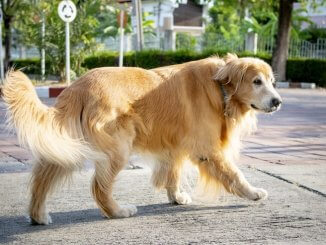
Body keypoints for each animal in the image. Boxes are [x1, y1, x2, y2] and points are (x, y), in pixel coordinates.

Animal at [2, 53, 282, 224]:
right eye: (257, 82)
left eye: (272, 82)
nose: (278, 101)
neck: (220, 88)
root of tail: (77, 88)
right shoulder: (208, 149)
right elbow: (234, 174)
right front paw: (253, 193)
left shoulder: (175, 144)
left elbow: (173, 172)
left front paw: (176, 196)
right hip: (117, 149)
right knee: (99, 187)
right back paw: (117, 211)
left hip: (67, 147)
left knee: (41, 180)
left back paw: (38, 215)